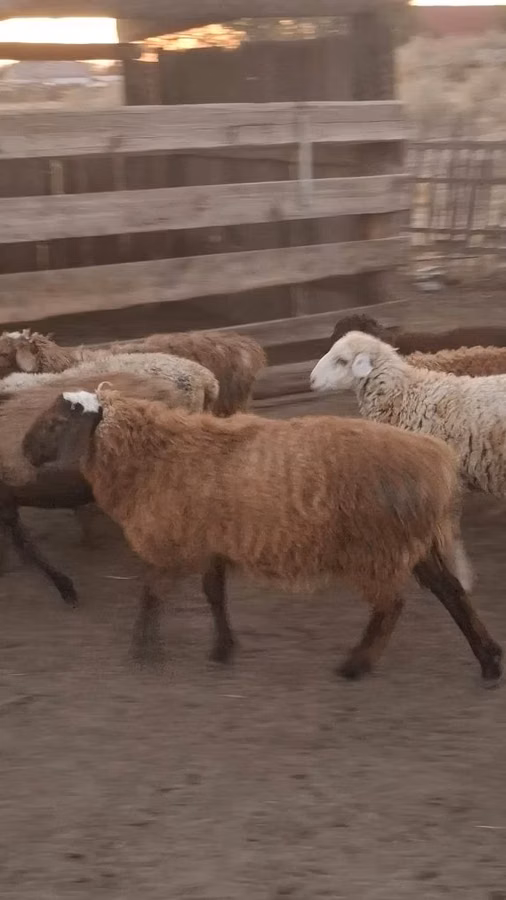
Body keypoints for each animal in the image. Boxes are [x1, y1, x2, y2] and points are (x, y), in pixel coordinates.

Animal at [21, 386, 503, 683]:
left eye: (56, 423)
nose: (24, 450)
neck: (157, 453)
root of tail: (435, 460)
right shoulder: (209, 541)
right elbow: (214, 594)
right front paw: (223, 648)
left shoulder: (173, 541)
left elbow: (152, 594)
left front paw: (143, 650)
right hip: (410, 542)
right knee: (451, 593)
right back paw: (489, 660)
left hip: (375, 546)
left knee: (391, 606)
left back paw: (356, 664)